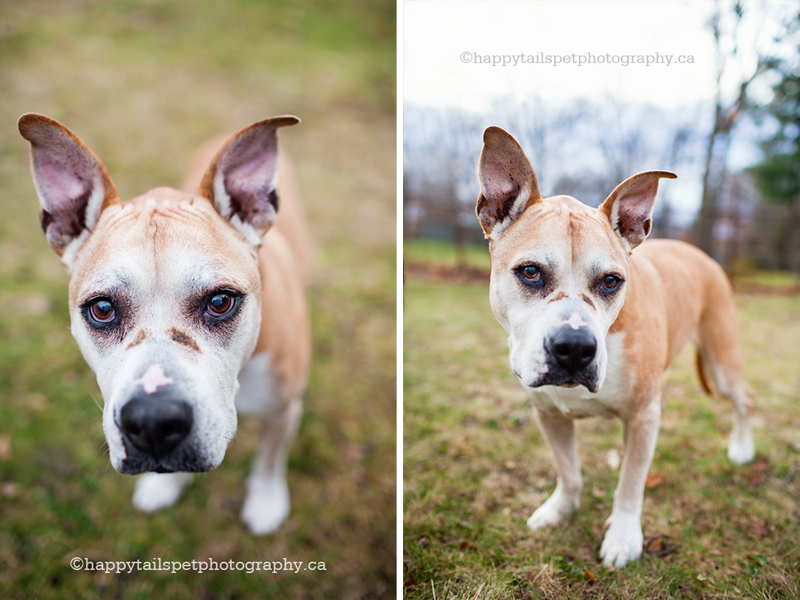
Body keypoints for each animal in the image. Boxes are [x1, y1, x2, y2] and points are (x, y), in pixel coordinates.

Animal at [18, 112, 312, 536]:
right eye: (102, 308)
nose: (153, 422)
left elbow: (271, 458)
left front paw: (266, 500)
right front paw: (165, 487)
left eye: (220, 301)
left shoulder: (284, 410)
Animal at [476, 125, 756, 568]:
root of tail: (698, 252)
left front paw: (623, 537)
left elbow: (630, 484)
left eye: (611, 281)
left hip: (721, 358)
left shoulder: (643, 417)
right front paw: (560, 510)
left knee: (744, 398)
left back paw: (742, 448)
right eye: (531, 272)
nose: (574, 348)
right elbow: (569, 472)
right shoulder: (549, 416)